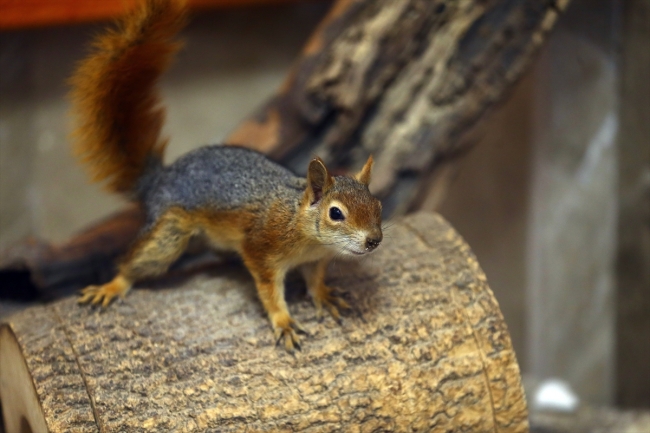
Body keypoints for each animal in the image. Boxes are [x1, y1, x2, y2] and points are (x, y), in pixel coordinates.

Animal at [71, 0, 382, 350]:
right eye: (336, 213)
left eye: (378, 206)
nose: (374, 240)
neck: (301, 228)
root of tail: (157, 181)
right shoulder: (261, 250)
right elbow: (269, 291)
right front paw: (283, 321)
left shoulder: (316, 260)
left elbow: (315, 281)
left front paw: (324, 296)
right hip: (169, 233)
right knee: (136, 261)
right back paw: (112, 285)